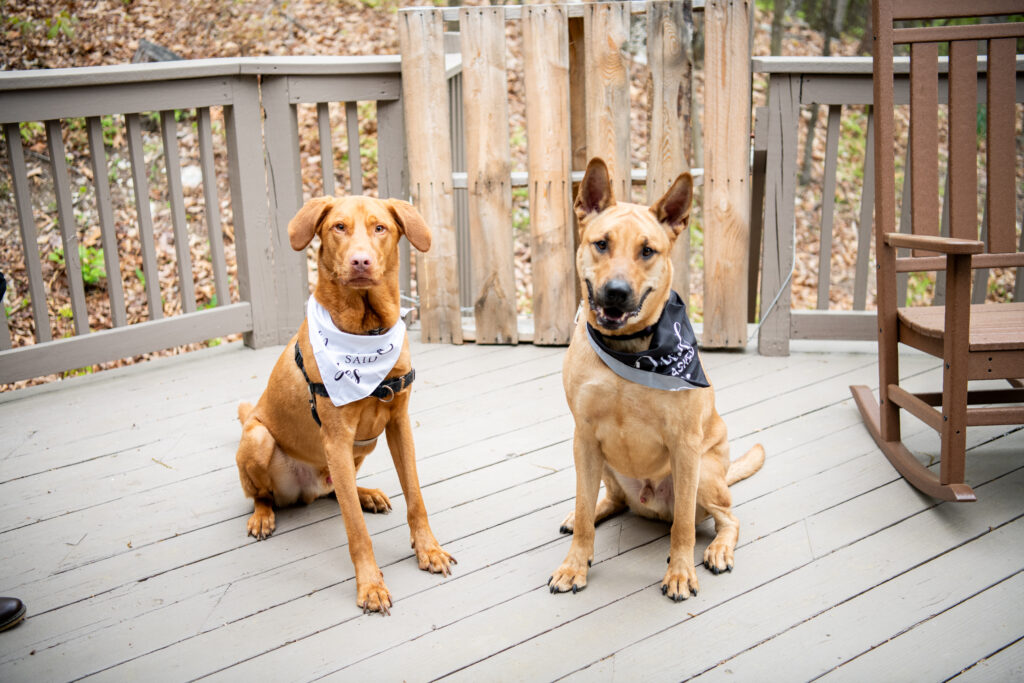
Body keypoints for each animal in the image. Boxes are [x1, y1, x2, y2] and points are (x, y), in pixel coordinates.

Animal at [237, 193, 454, 614]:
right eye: (338, 227)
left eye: (379, 228)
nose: (360, 261)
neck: (366, 330)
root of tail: (306, 488)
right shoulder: (336, 438)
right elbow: (355, 528)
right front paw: (370, 585)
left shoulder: (399, 424)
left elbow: (415, 497)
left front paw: (429, 549)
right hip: (259, 438)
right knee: (266, 495)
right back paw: (263, 516)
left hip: (361, 447)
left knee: (340, 490)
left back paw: (366, 493)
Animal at [552, 160, 761, 602]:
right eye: (601, 244)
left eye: (647, 251)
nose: (616, 292)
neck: (629, 350)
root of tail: (649, 504)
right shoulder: (584, 437)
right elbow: (583, 507)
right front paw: (575, 563)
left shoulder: (685, 446)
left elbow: (682, 526)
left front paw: (680, 573)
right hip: (603, 462)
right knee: (608, 499)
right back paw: (588, 514)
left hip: (707, 476)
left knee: (726, 517)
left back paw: (718, 550)